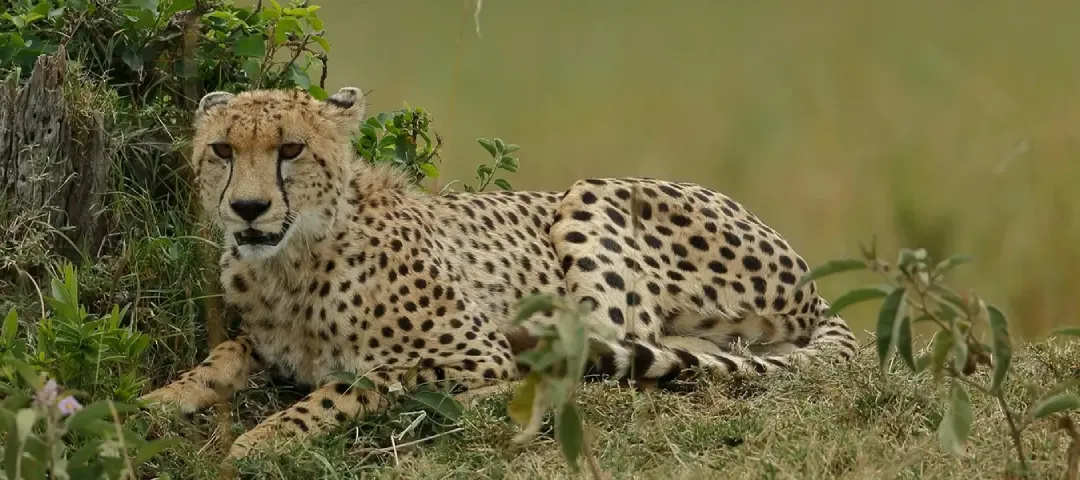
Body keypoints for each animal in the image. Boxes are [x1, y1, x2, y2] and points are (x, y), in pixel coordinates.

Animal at [139, 86, 860, 459]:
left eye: (290, 149)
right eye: (222, 150)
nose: (248, 209)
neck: (294, 258)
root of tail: (810, 285)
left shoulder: (470, 349)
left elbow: (352, 385)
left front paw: (259, 440)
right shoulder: (264, 341)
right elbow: (222, 358)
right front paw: (150, 405)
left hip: (590, 196)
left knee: (595, 361)